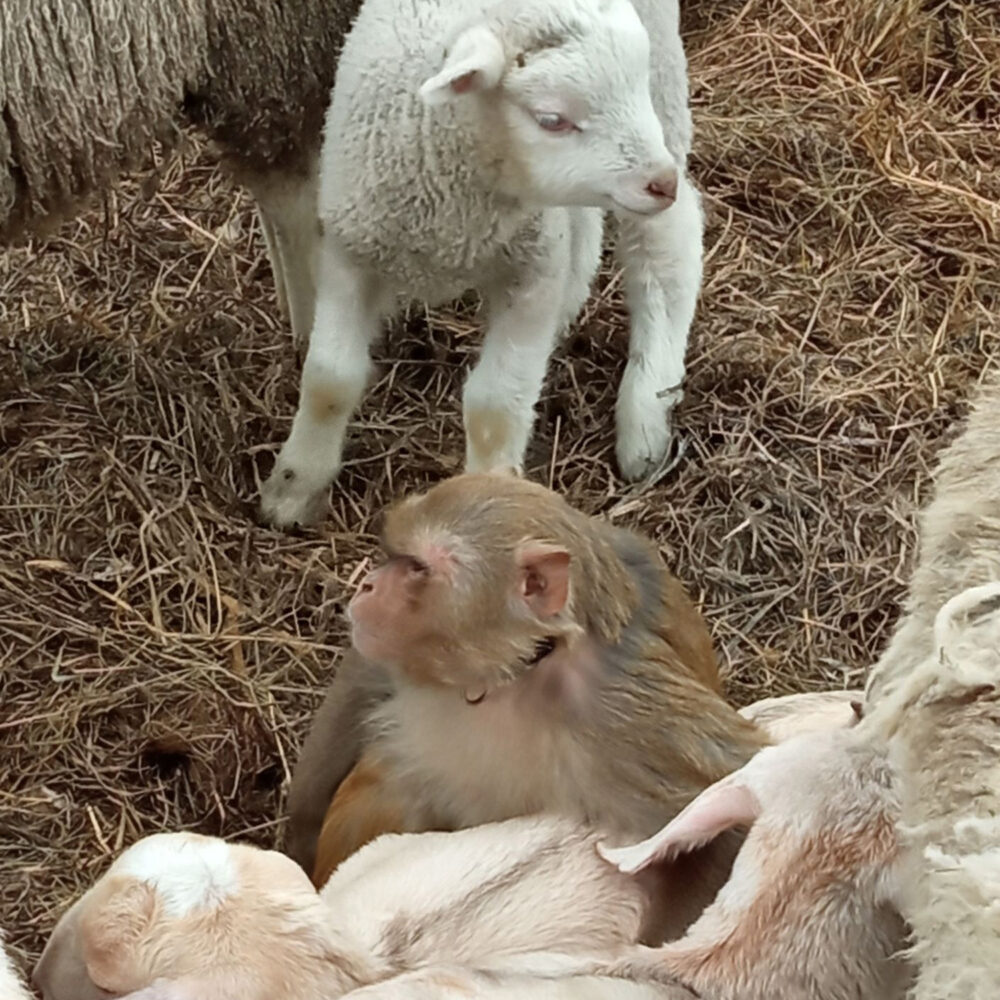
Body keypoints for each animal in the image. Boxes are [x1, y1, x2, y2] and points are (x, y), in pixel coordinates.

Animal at [259, 0, 703, 527]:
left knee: (666, 246)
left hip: (663, 85)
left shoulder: (531, 275)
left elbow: (495, 406)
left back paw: (646, 417)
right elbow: (330, 378)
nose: (661, 182)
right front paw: (292, 488)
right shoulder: (352, 253)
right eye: (552, 119)